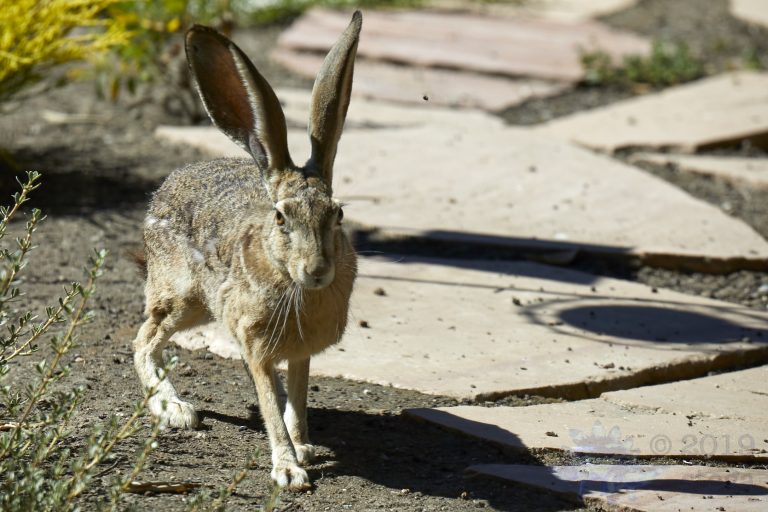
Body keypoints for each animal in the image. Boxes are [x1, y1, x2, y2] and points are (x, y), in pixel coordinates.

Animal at [132, 11, 362, 490]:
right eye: (281, 218)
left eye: (338, 215)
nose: (317, 270)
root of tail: (163, 191)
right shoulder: (256, 345)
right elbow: (270, 403)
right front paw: (288, 470)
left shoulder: (300, 351)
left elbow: (297, 397)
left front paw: (304, 447)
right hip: (183, 300)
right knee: (143, 340)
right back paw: (174, 409)